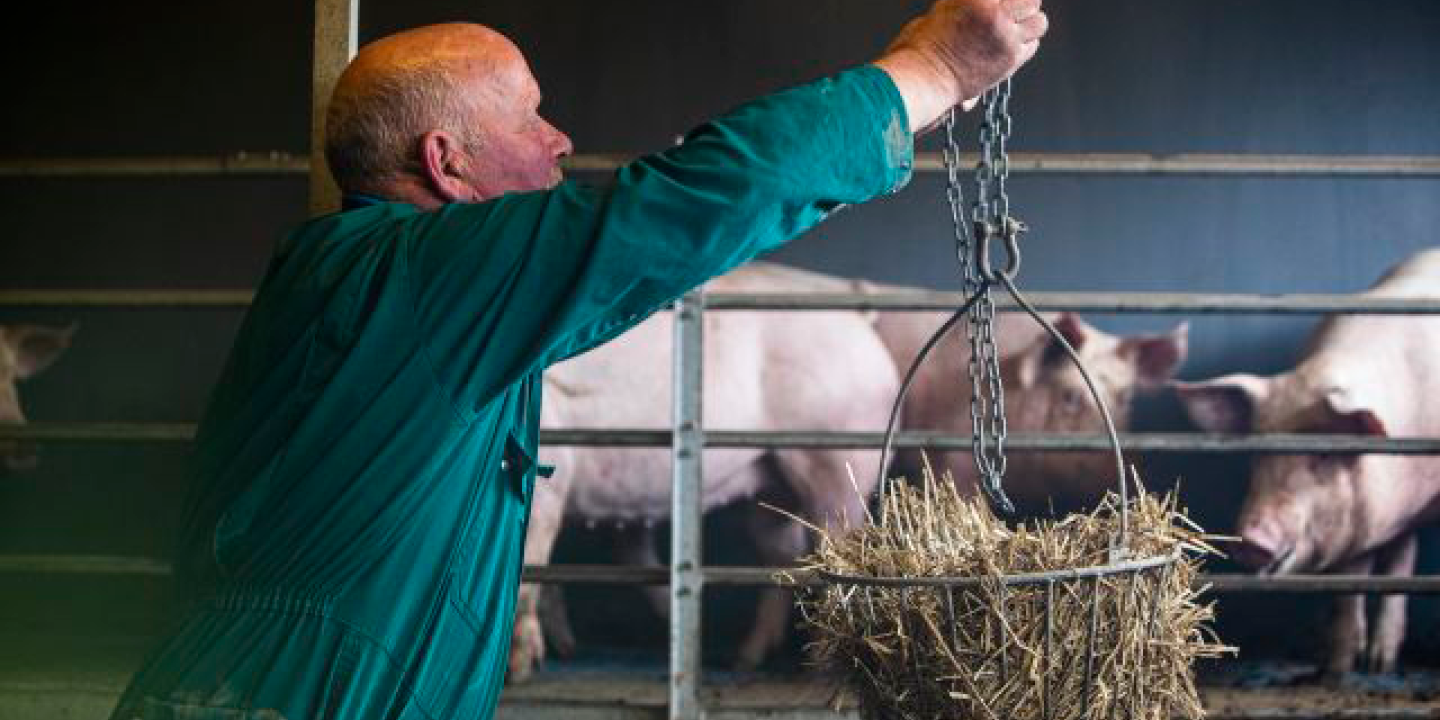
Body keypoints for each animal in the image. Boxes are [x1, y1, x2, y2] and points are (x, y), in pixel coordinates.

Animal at [1175, 250, 1440, 676]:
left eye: (1324, 453)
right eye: (1258, 451)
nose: (1252, 539)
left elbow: (1391, 567)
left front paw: (1369, 667)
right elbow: (1353, 579)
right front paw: (1340, 666)